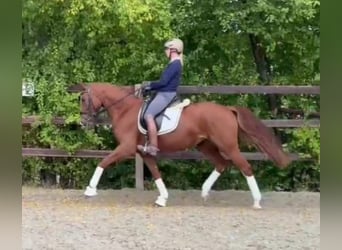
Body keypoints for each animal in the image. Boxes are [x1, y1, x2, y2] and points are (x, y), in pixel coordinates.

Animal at [67, 83, 292, 208]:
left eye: (84, 99)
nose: (84, 122)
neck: (125, 110)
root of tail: (228, 110)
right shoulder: (143, 152)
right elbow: (156, 172)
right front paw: (163, 199)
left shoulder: (127, 148)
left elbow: (103, 162)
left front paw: (90, 190)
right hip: (205, 145)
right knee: (221, 164)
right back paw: (204, 193)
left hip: (228, 146)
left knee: (245, 167)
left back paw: (256, 202)